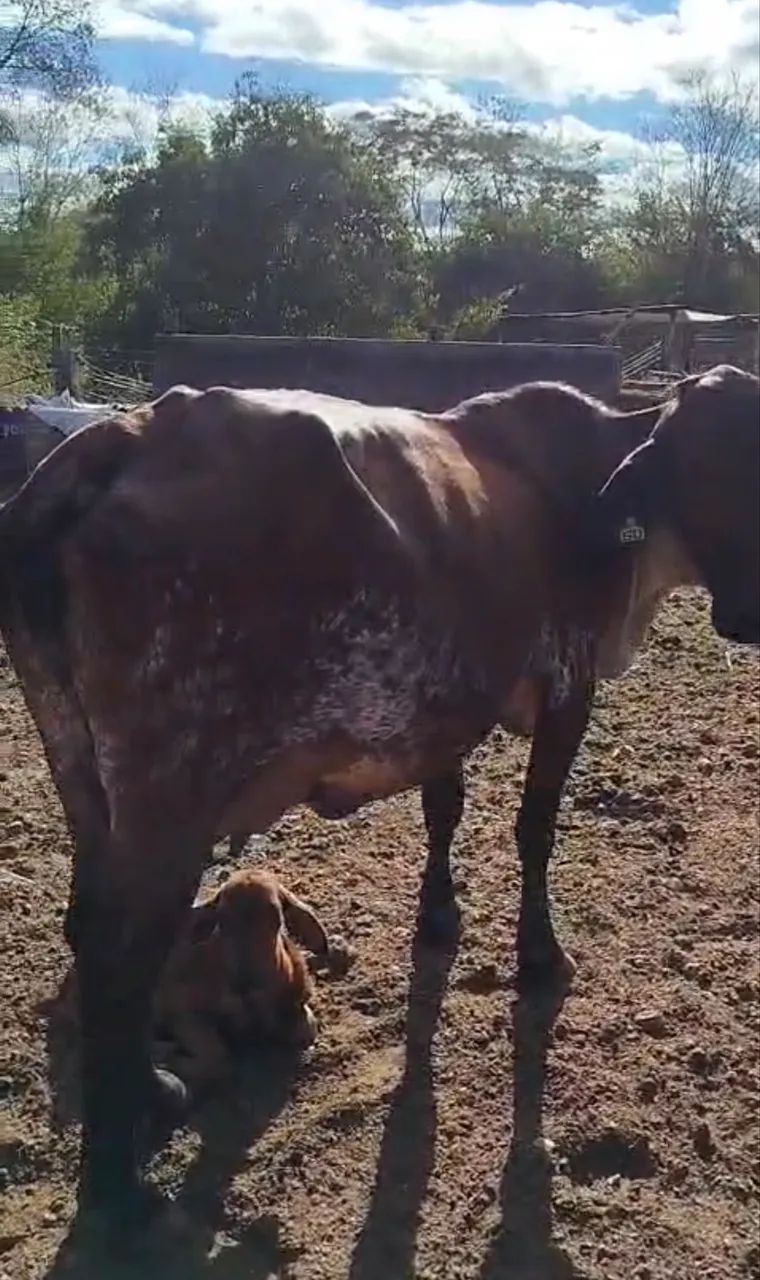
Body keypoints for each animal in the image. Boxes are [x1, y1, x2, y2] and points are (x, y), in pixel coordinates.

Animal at [0, 364, 757, 1230]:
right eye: (706, 467)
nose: (749, 612)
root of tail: (116, 439)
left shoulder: (440, 707)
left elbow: (444, 810)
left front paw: (439, 917)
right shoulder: (571, 683)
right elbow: (534, 827)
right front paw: (539, 956)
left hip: (80, 769)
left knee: (87, 929)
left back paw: (152, 1096)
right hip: (169, 797)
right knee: (122, 956)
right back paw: (117, 1191)